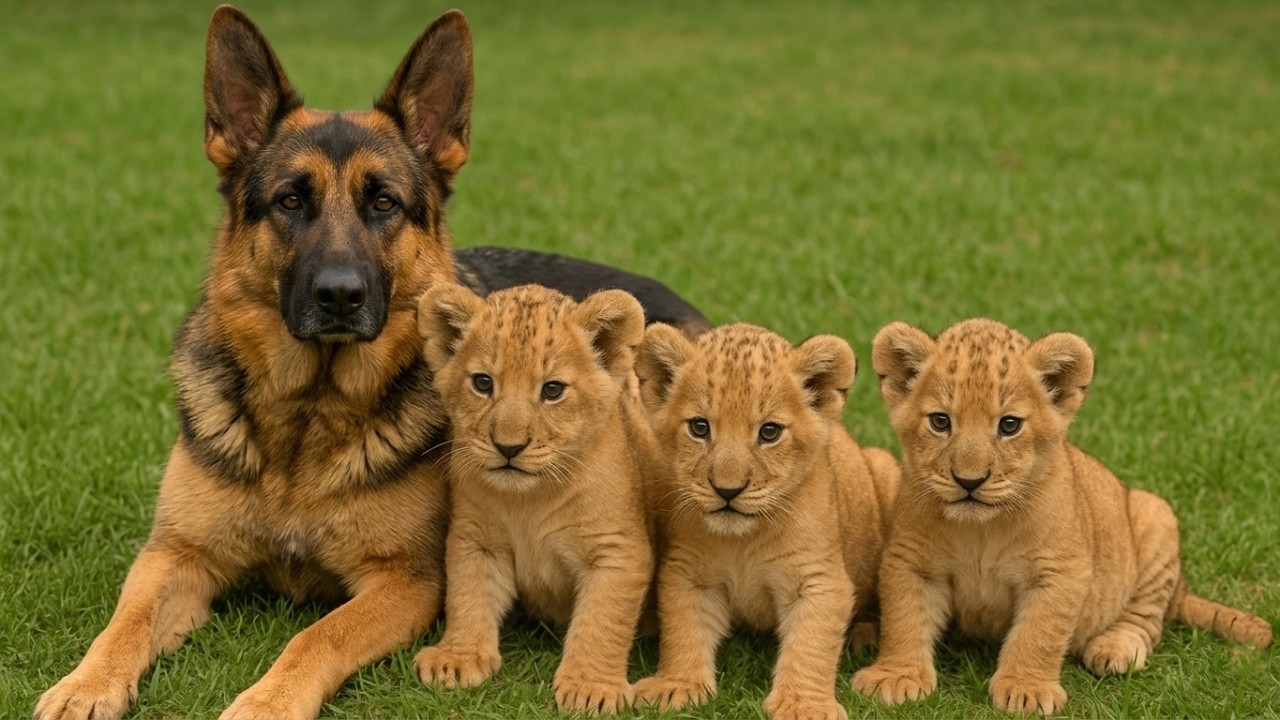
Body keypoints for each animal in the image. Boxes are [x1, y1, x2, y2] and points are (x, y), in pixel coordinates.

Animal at [411, 283, 657, 714]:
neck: (531, 500)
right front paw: (458, 658)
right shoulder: (476, 539)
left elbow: (602, 621)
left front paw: (592, 687)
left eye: (552, 390)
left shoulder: (618, 550)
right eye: (483, 383)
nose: (509, 447)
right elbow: (467, 594)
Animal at [630, 322, 900, 720]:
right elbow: (684, 628)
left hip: (882, 465)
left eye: (769, 432)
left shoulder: (818, 578)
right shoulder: (689, 572)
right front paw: (677, 684)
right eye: (699, 427)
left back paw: (864, 635)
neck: (745, 539)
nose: (727, 490)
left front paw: (803, 705)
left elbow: (811, 644)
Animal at [852, 317, 1273, 715]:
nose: (969, 481)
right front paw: (896, 676)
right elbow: (905, 619)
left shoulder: (1061, 571)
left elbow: (1039, 633)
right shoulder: (911, 561)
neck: (981, 531)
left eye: (1009, 425)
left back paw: (1115, 649)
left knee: (1147, 617)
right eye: (940, 422)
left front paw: (1026, 690)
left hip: (1155, 517)